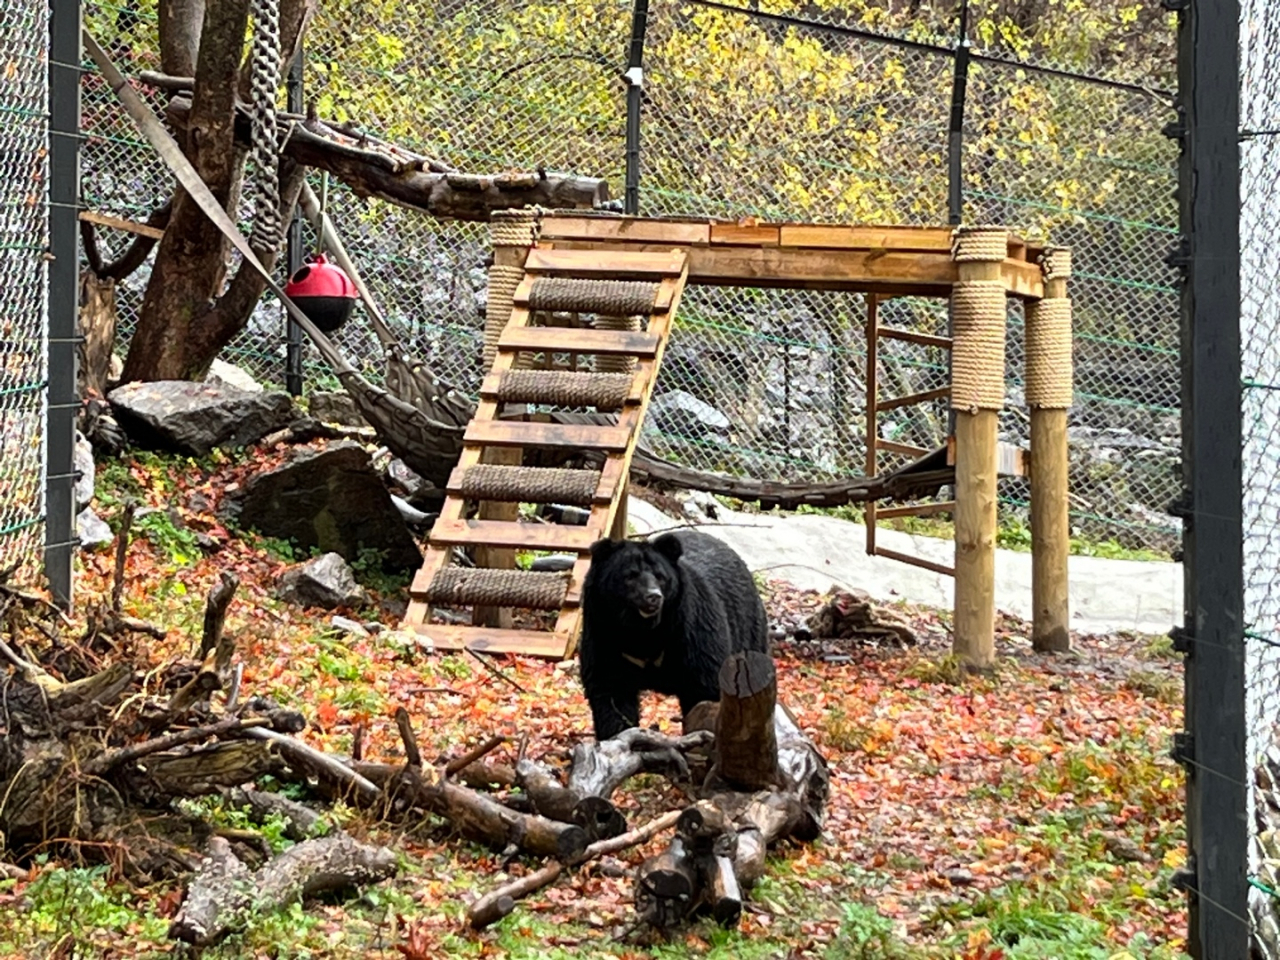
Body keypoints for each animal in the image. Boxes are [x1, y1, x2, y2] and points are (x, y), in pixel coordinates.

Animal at [581, 529, 768, 742]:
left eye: (660, 576)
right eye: (630, 576)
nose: (653, 596)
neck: (642, 631)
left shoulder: (692, 631)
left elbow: (705, 687)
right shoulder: (603, 634)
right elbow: (612, 693)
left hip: (747, 629)